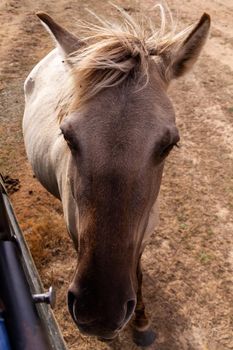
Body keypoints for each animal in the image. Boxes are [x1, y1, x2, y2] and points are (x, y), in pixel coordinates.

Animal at [22, 6, 210, 348]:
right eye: (67, 136)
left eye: (169, 145)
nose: (100, 310)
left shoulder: (143, 233)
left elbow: (137, 270)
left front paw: (142, 322)